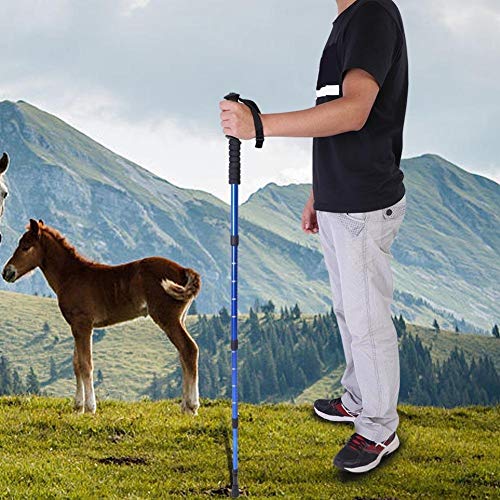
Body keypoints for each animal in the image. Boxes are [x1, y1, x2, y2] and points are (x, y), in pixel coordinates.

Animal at [2, 219, 201, 414]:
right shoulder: (75, 326)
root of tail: (184, 269)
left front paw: (90, 408)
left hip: (167, 318)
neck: (71, 276)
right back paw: (185, 406)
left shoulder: (83, 324)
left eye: (26, 246)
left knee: (189, 349)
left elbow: (86, 364)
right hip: (179, 318)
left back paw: (192, 406)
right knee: (183, 355)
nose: (7, 272)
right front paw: (78, 407)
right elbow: (76, 364)